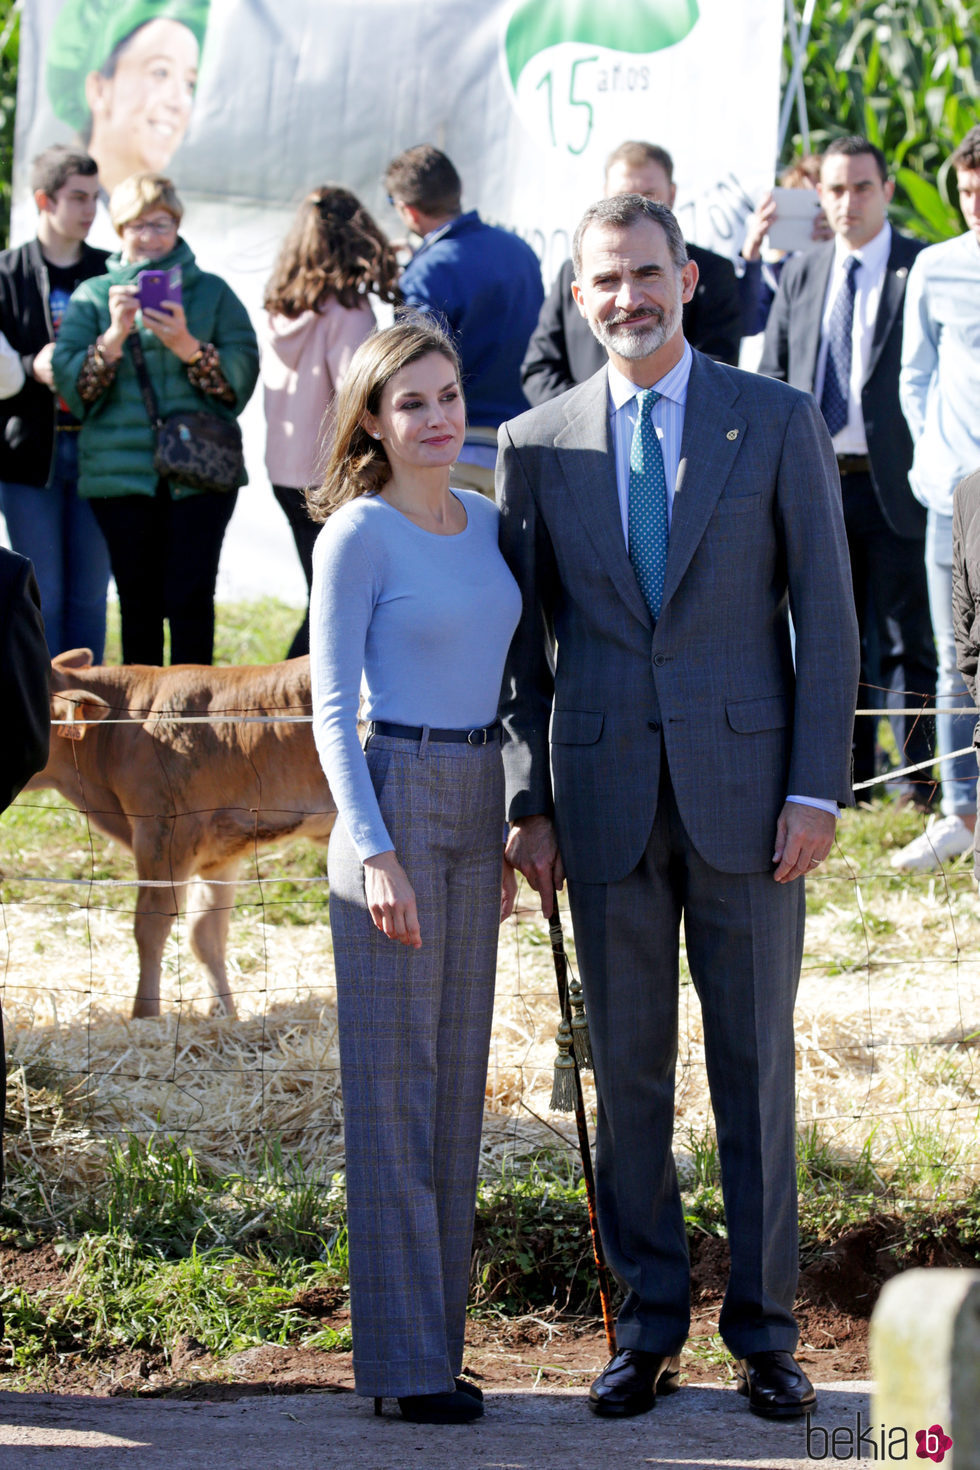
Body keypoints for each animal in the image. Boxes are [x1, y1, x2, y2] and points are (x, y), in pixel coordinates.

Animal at [24, 649, 339, 1017]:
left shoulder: (163, 832)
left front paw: (145, 1013)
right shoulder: (221, 851)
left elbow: (150, 925)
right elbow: (205, 934)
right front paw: (223, 1013)